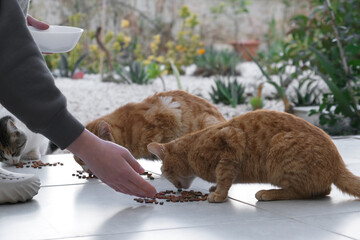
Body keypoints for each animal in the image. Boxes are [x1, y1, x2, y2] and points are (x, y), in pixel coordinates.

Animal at [147, 110, 360, 202]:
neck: (191, 149)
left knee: (303, 192)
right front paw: (215, 187)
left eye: (164, 170)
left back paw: (268, 193)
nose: (176, 187)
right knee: (323, 190)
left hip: (279, 150)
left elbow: (224, 177)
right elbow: (223, 178)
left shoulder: (230, 147)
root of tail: (338, 164)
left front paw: (219, 194)